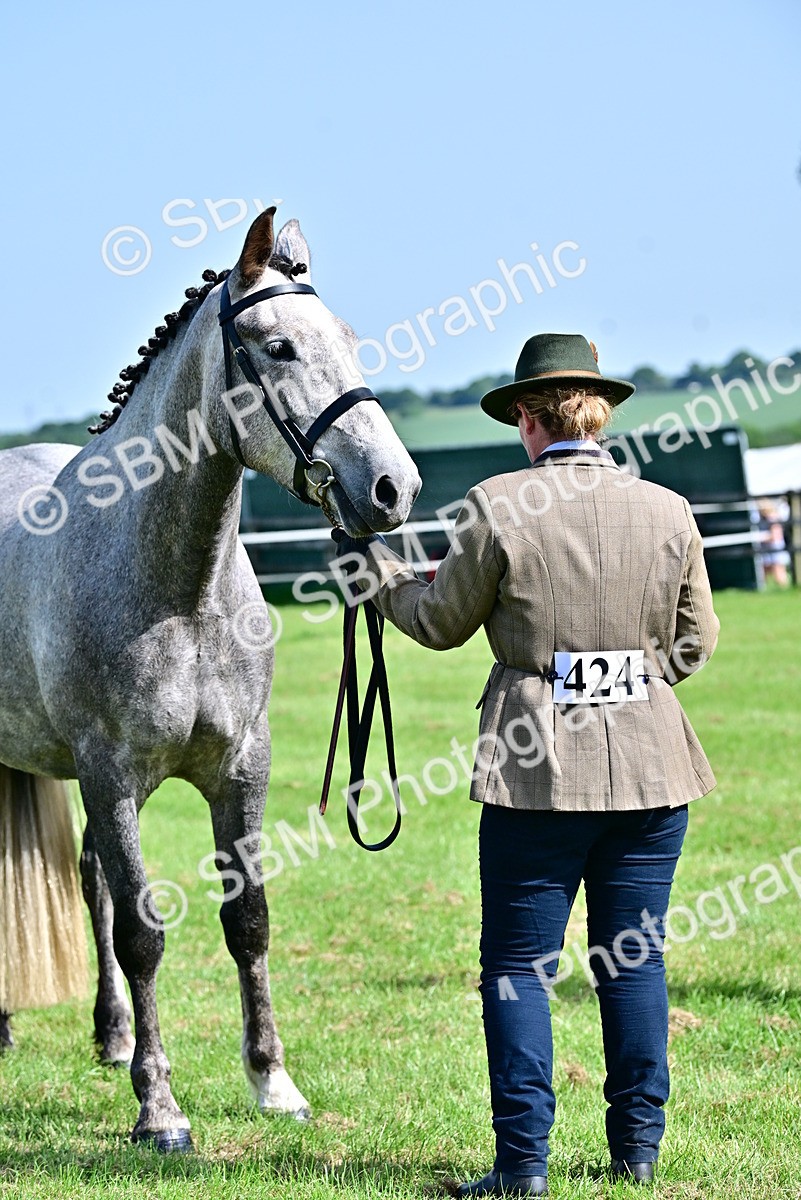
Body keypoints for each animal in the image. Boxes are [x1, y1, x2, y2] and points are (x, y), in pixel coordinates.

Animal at [0, 206, 421, 1150]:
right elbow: (145, 935)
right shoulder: (113, 774)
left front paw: (272, 1082)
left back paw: (112, 1036)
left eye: (346, 338)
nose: (392, 488)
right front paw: (159, 1110)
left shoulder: (239, 769)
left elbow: (247, 919)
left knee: (89, 879)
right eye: (278, 347)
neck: (179, 592)